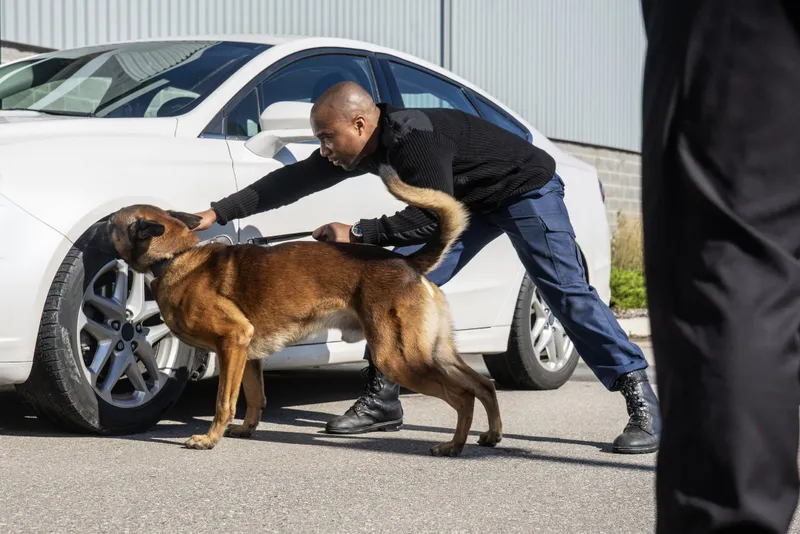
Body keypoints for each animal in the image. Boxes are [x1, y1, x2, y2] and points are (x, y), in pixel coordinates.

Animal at [94, 165, 504, 458]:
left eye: (112, 221)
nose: (96, 223)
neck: (177, 255)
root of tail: (408, 263)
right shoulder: (246, 353)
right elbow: (254, 397)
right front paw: (246, 429)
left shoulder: (232, 342)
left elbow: (225, 401)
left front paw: (210, 439)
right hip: (433, 352)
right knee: (483, 384)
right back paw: (491, 434)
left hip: (399, 359)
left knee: (463, 396)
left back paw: (453, 445)